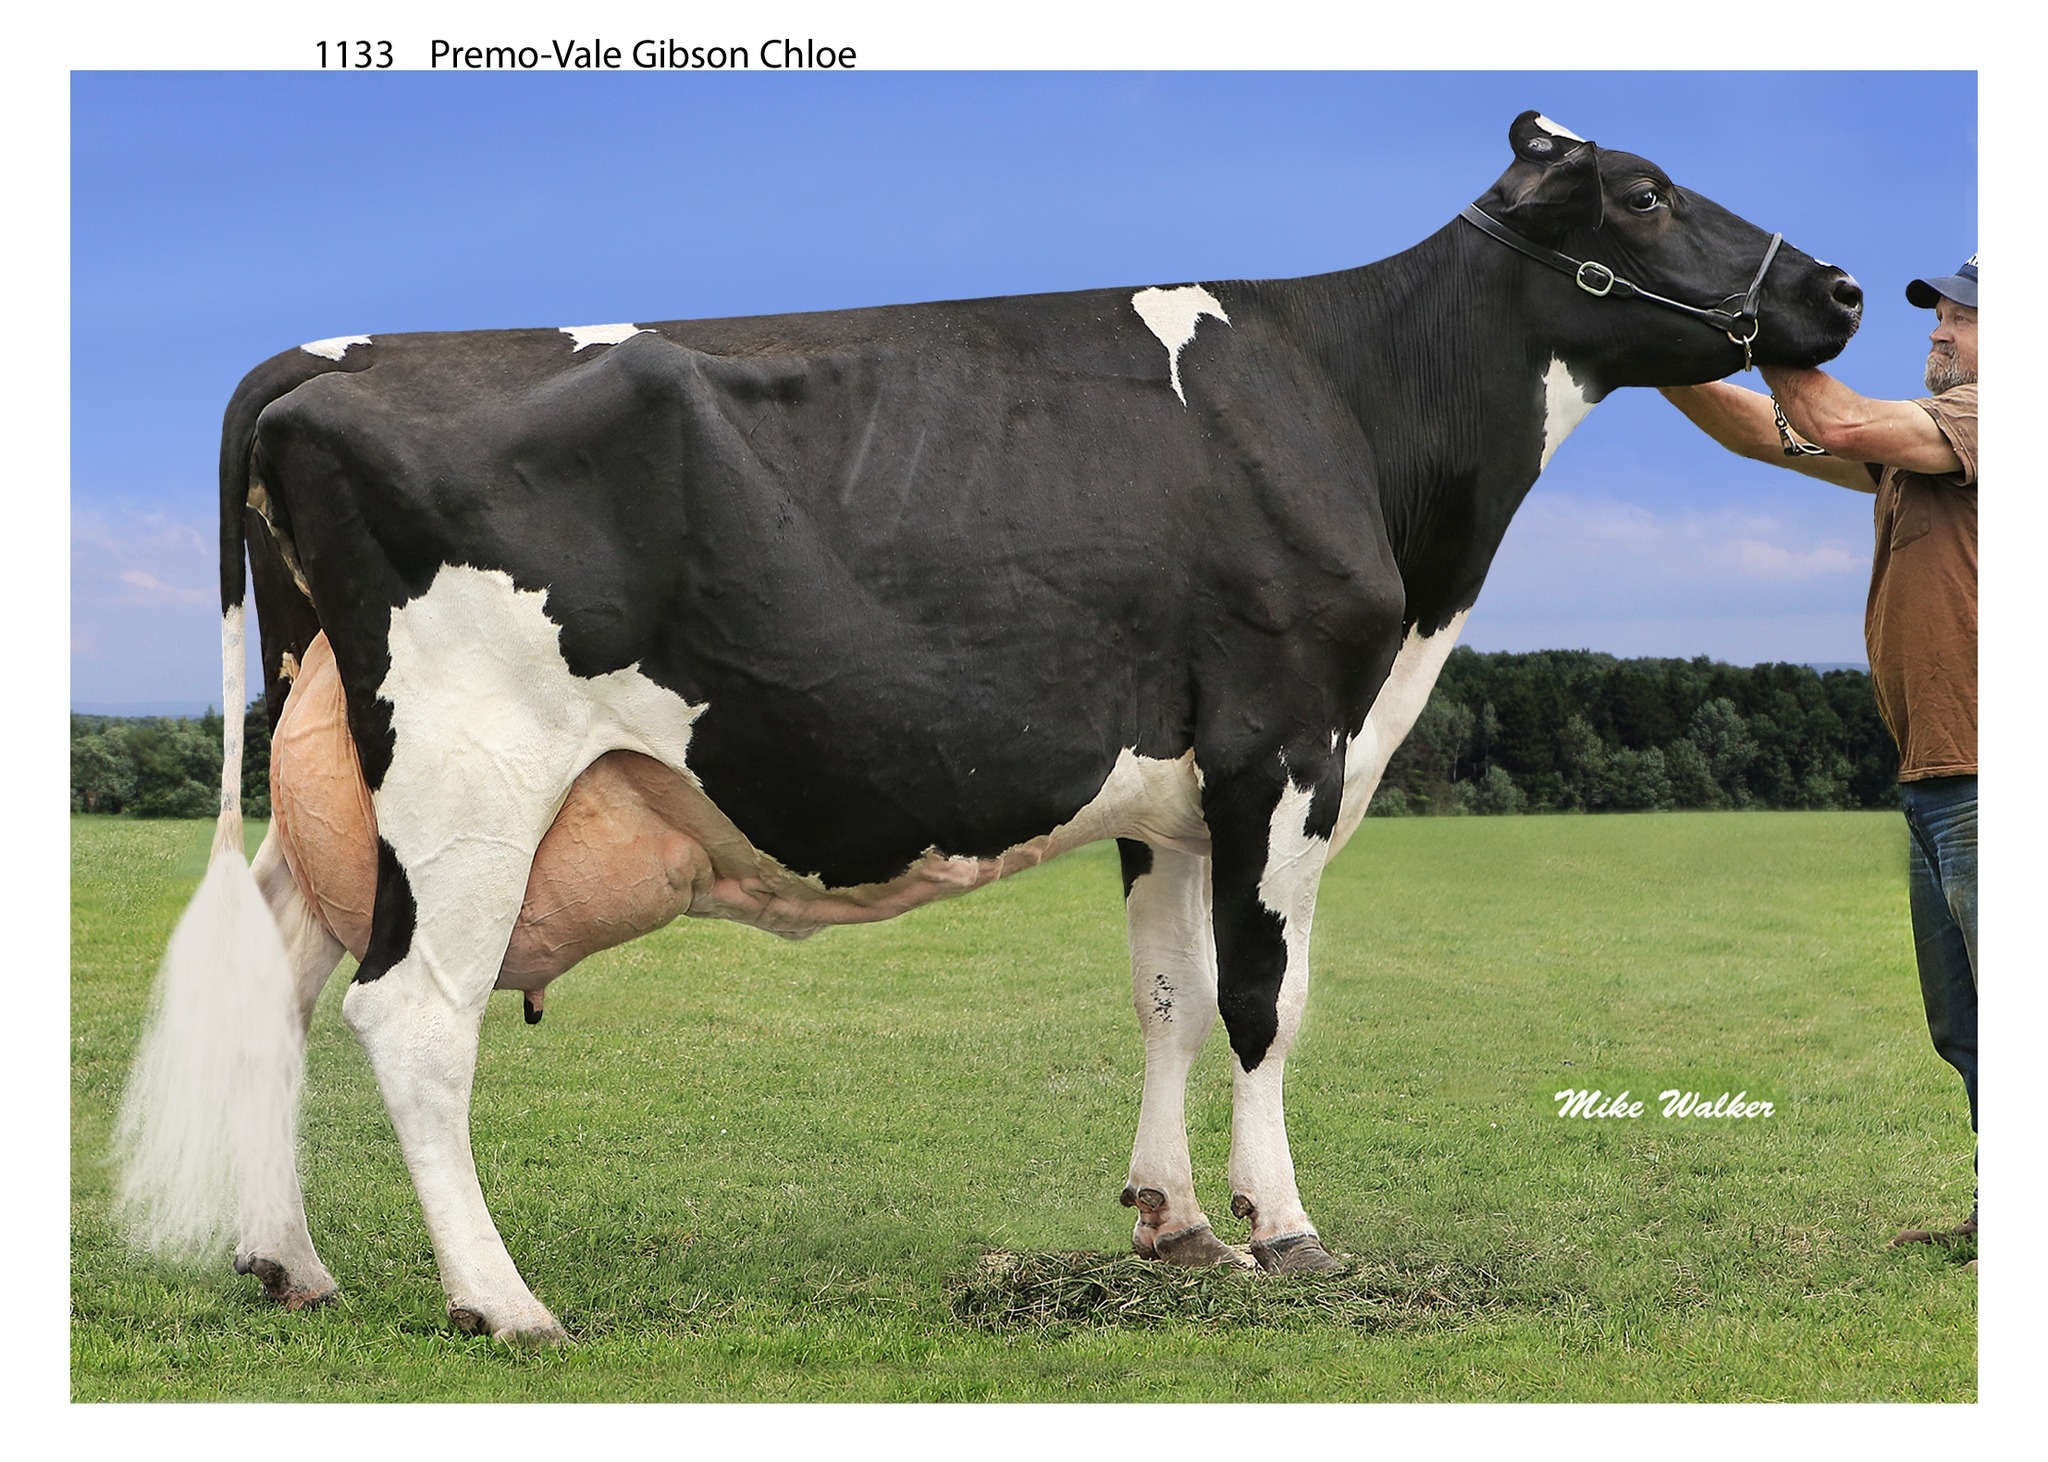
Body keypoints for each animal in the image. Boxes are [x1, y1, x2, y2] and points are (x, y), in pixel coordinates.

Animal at [115, 112, 1862, 1343]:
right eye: (1642, 193)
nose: (1839, 287)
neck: (1353, 406)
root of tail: (327, 355)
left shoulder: (1172, 790)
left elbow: (1166, 996)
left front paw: (1174, 1222)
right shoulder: (1288, 741)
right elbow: (1263, 1001)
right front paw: (1286, 1228)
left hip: (339, 771)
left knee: (286, 971)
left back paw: (289, 1261)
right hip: (471, 770)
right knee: (412, 1014)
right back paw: (505, 1300)